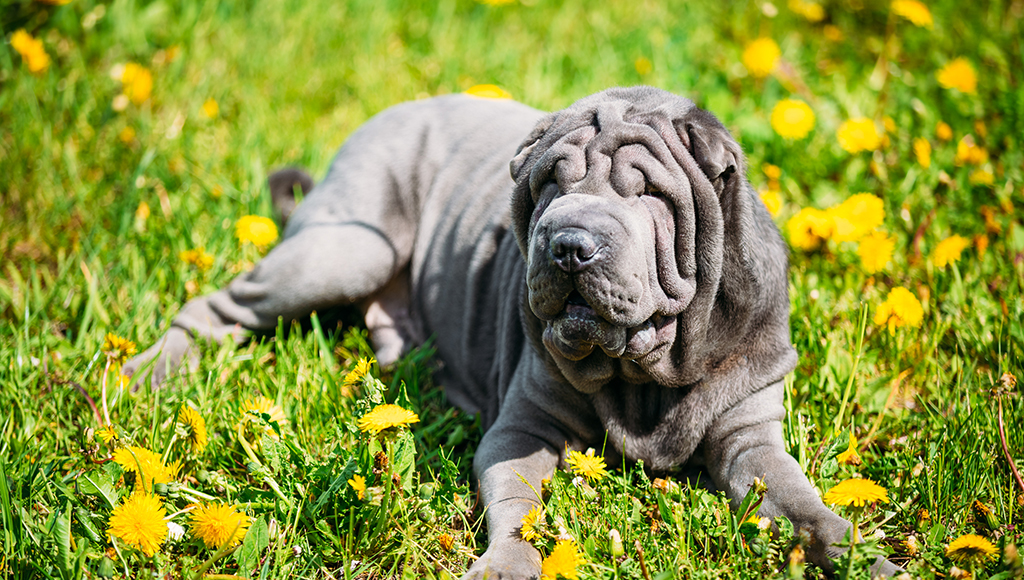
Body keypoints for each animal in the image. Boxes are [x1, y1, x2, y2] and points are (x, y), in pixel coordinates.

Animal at [125, 87, 897, 580]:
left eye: (647, 193)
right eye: (551, 183)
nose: (569, 245)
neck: (644, 371)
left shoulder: (750, 436)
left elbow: (806, 506)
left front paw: (869, 559)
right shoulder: (524, 427)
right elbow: (519, 507)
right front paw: (506, 566)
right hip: (348, 245)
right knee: (216, 308)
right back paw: (149, 372)